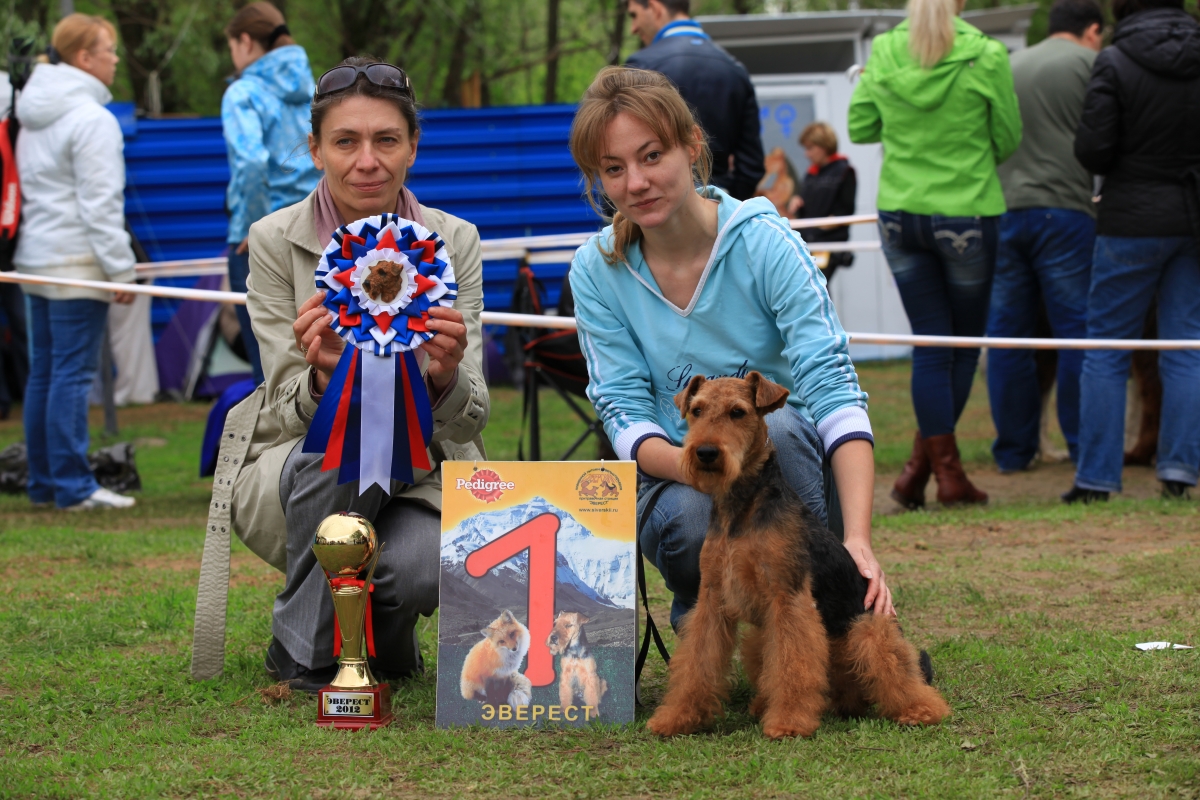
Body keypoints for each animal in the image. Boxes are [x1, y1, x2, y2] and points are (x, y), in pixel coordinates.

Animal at [648, 371, 945, 743]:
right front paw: (677, 717)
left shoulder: (788, 598)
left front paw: (788, 722)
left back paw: (920, 711)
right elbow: (697, 663)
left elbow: (793, 665)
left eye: (737, 412)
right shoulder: (712, 599)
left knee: (900, 674)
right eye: (697, 410)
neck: (741, 508)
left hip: (868, 629)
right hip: (762, 635)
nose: (705, 452)